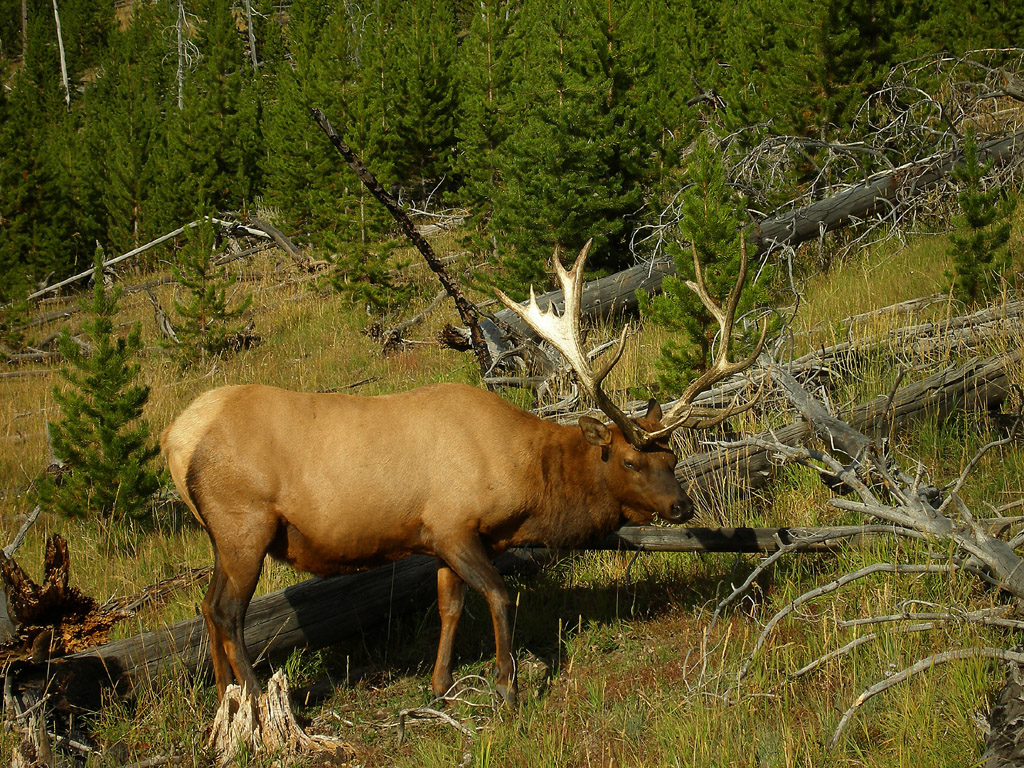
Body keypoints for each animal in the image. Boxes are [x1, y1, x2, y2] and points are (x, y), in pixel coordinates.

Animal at [161, 237, 765, 706]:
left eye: (673, 457)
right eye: (631, 459)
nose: (682, 505)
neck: (526, 487)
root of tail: (174, 438)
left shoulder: (440, 537)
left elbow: (449, 607)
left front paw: (439, 685)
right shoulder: (455, 525)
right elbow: (499, 596)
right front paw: (507, 687)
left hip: (223, 536)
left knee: (206, 607)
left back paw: (224, 701)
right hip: (245, 524)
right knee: (226, 612)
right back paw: (256, 698)